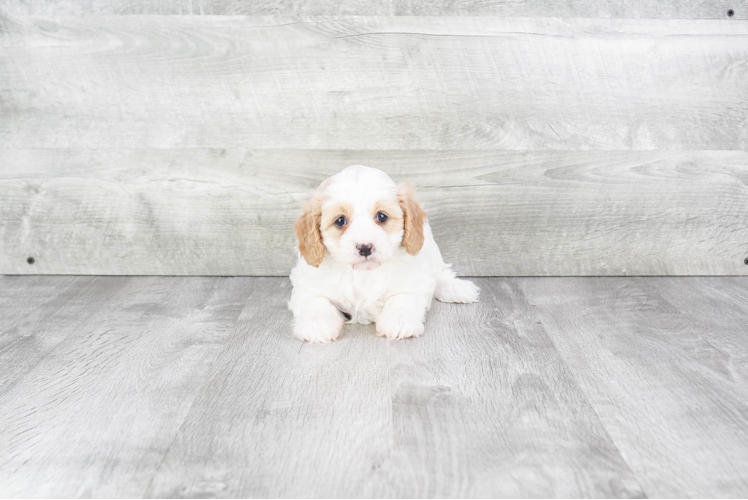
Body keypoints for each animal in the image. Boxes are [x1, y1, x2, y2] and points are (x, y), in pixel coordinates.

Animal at [288, 165, 480, 344]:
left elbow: (402, 298)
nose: (365, 247)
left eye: (381, 217)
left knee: (440, 274)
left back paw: (458, 289)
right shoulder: (308, 284)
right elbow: (315, 301)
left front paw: (399, 321)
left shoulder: (413, 279)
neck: (364, 273)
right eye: (340, 221)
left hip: (432, 250)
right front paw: (316, 324)